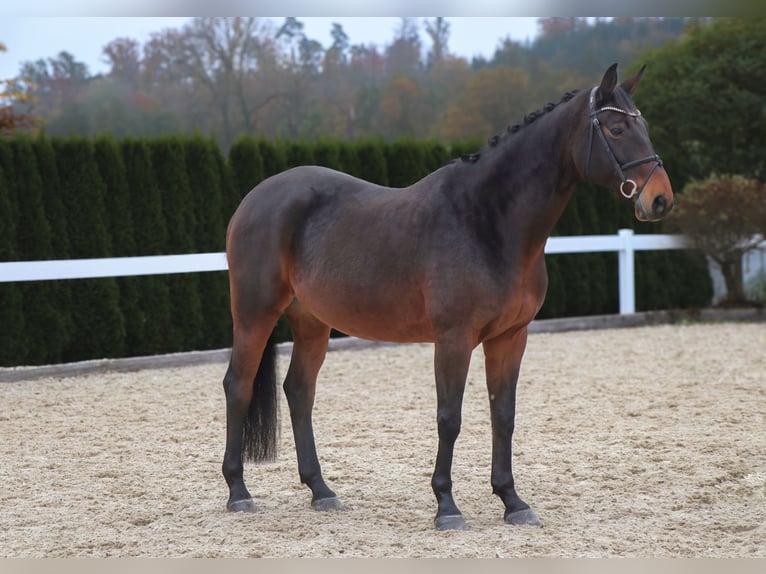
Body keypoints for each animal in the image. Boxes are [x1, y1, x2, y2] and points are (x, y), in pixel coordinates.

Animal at [220, 62, 672, 532]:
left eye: (643, 126)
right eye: (617, 128)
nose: (660, 199)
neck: (485, 220)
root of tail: (254, 198)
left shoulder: (511, 337)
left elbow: (503, 415)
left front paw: (512, 501)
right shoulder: (454, 339)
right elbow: (449, 418)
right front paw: (447, 506)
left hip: (312, 322)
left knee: (299, 391)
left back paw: (321, 490)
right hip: (254, 314)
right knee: (238, 386)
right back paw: (238, 492)